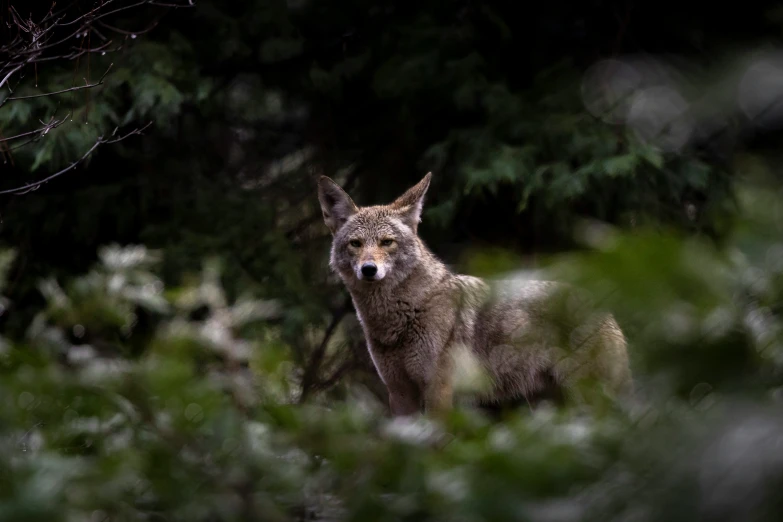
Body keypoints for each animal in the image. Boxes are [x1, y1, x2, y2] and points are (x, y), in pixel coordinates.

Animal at [316, 173, 632, 416]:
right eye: (356, 244)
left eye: (386, 242)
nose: (369, 269)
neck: (402, 315)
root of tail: (604, 306)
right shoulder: (399, 392)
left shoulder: (439, 391)